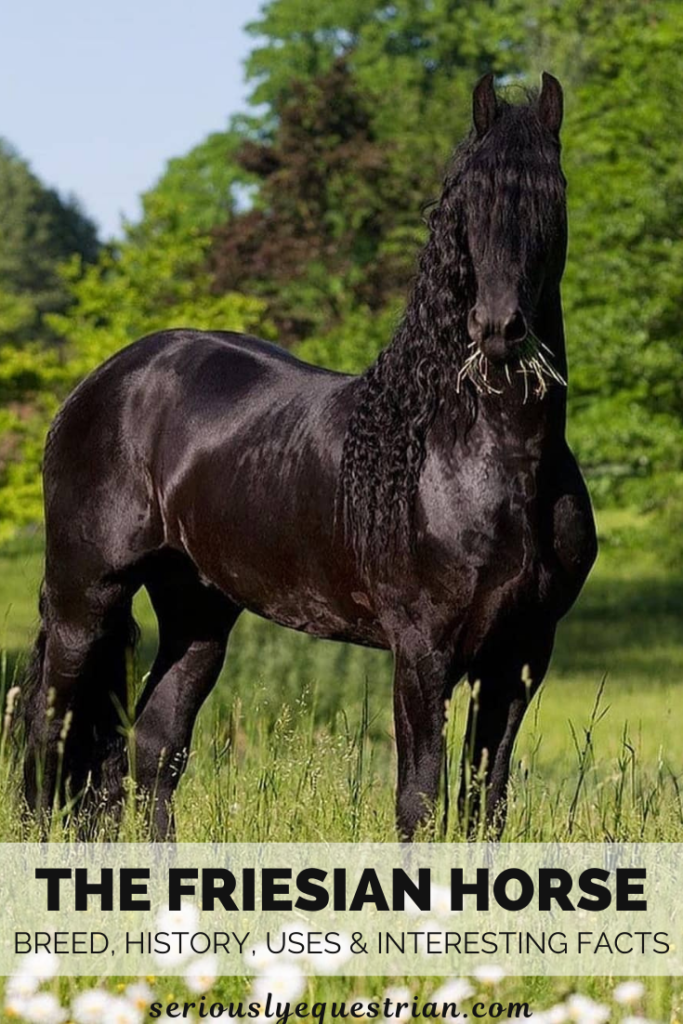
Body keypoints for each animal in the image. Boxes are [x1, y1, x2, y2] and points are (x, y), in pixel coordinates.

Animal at [22, 72, 597, 840]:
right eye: (469, 201)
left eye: (548, 198)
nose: (499, 329)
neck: (488, 462)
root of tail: (97, 385)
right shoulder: (422, 651)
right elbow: (418, 802)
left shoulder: (521, 655)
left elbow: (485, 806)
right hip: (86, 600)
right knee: (48, 737)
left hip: (197, 612)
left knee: (153, 750)